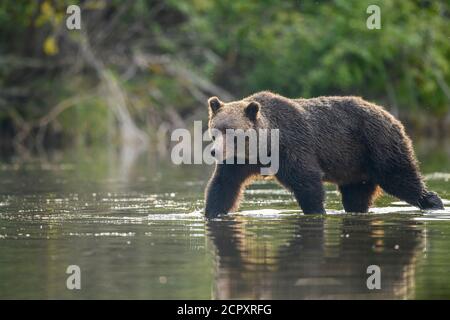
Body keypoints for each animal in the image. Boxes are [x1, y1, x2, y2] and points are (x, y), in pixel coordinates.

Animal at [206, 91, 444, 219]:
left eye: (232, 131)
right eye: (215, 130)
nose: (214, 151)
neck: (262, 148)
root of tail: (390, 114)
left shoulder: (292, 148)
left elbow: (307, 182)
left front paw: (316, 210)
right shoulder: (238, 162)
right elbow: (223, 186)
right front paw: (210, 211)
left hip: (378, 145)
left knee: (400, 177)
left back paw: (433, 202)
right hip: (356, 167)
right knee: (356, 196)